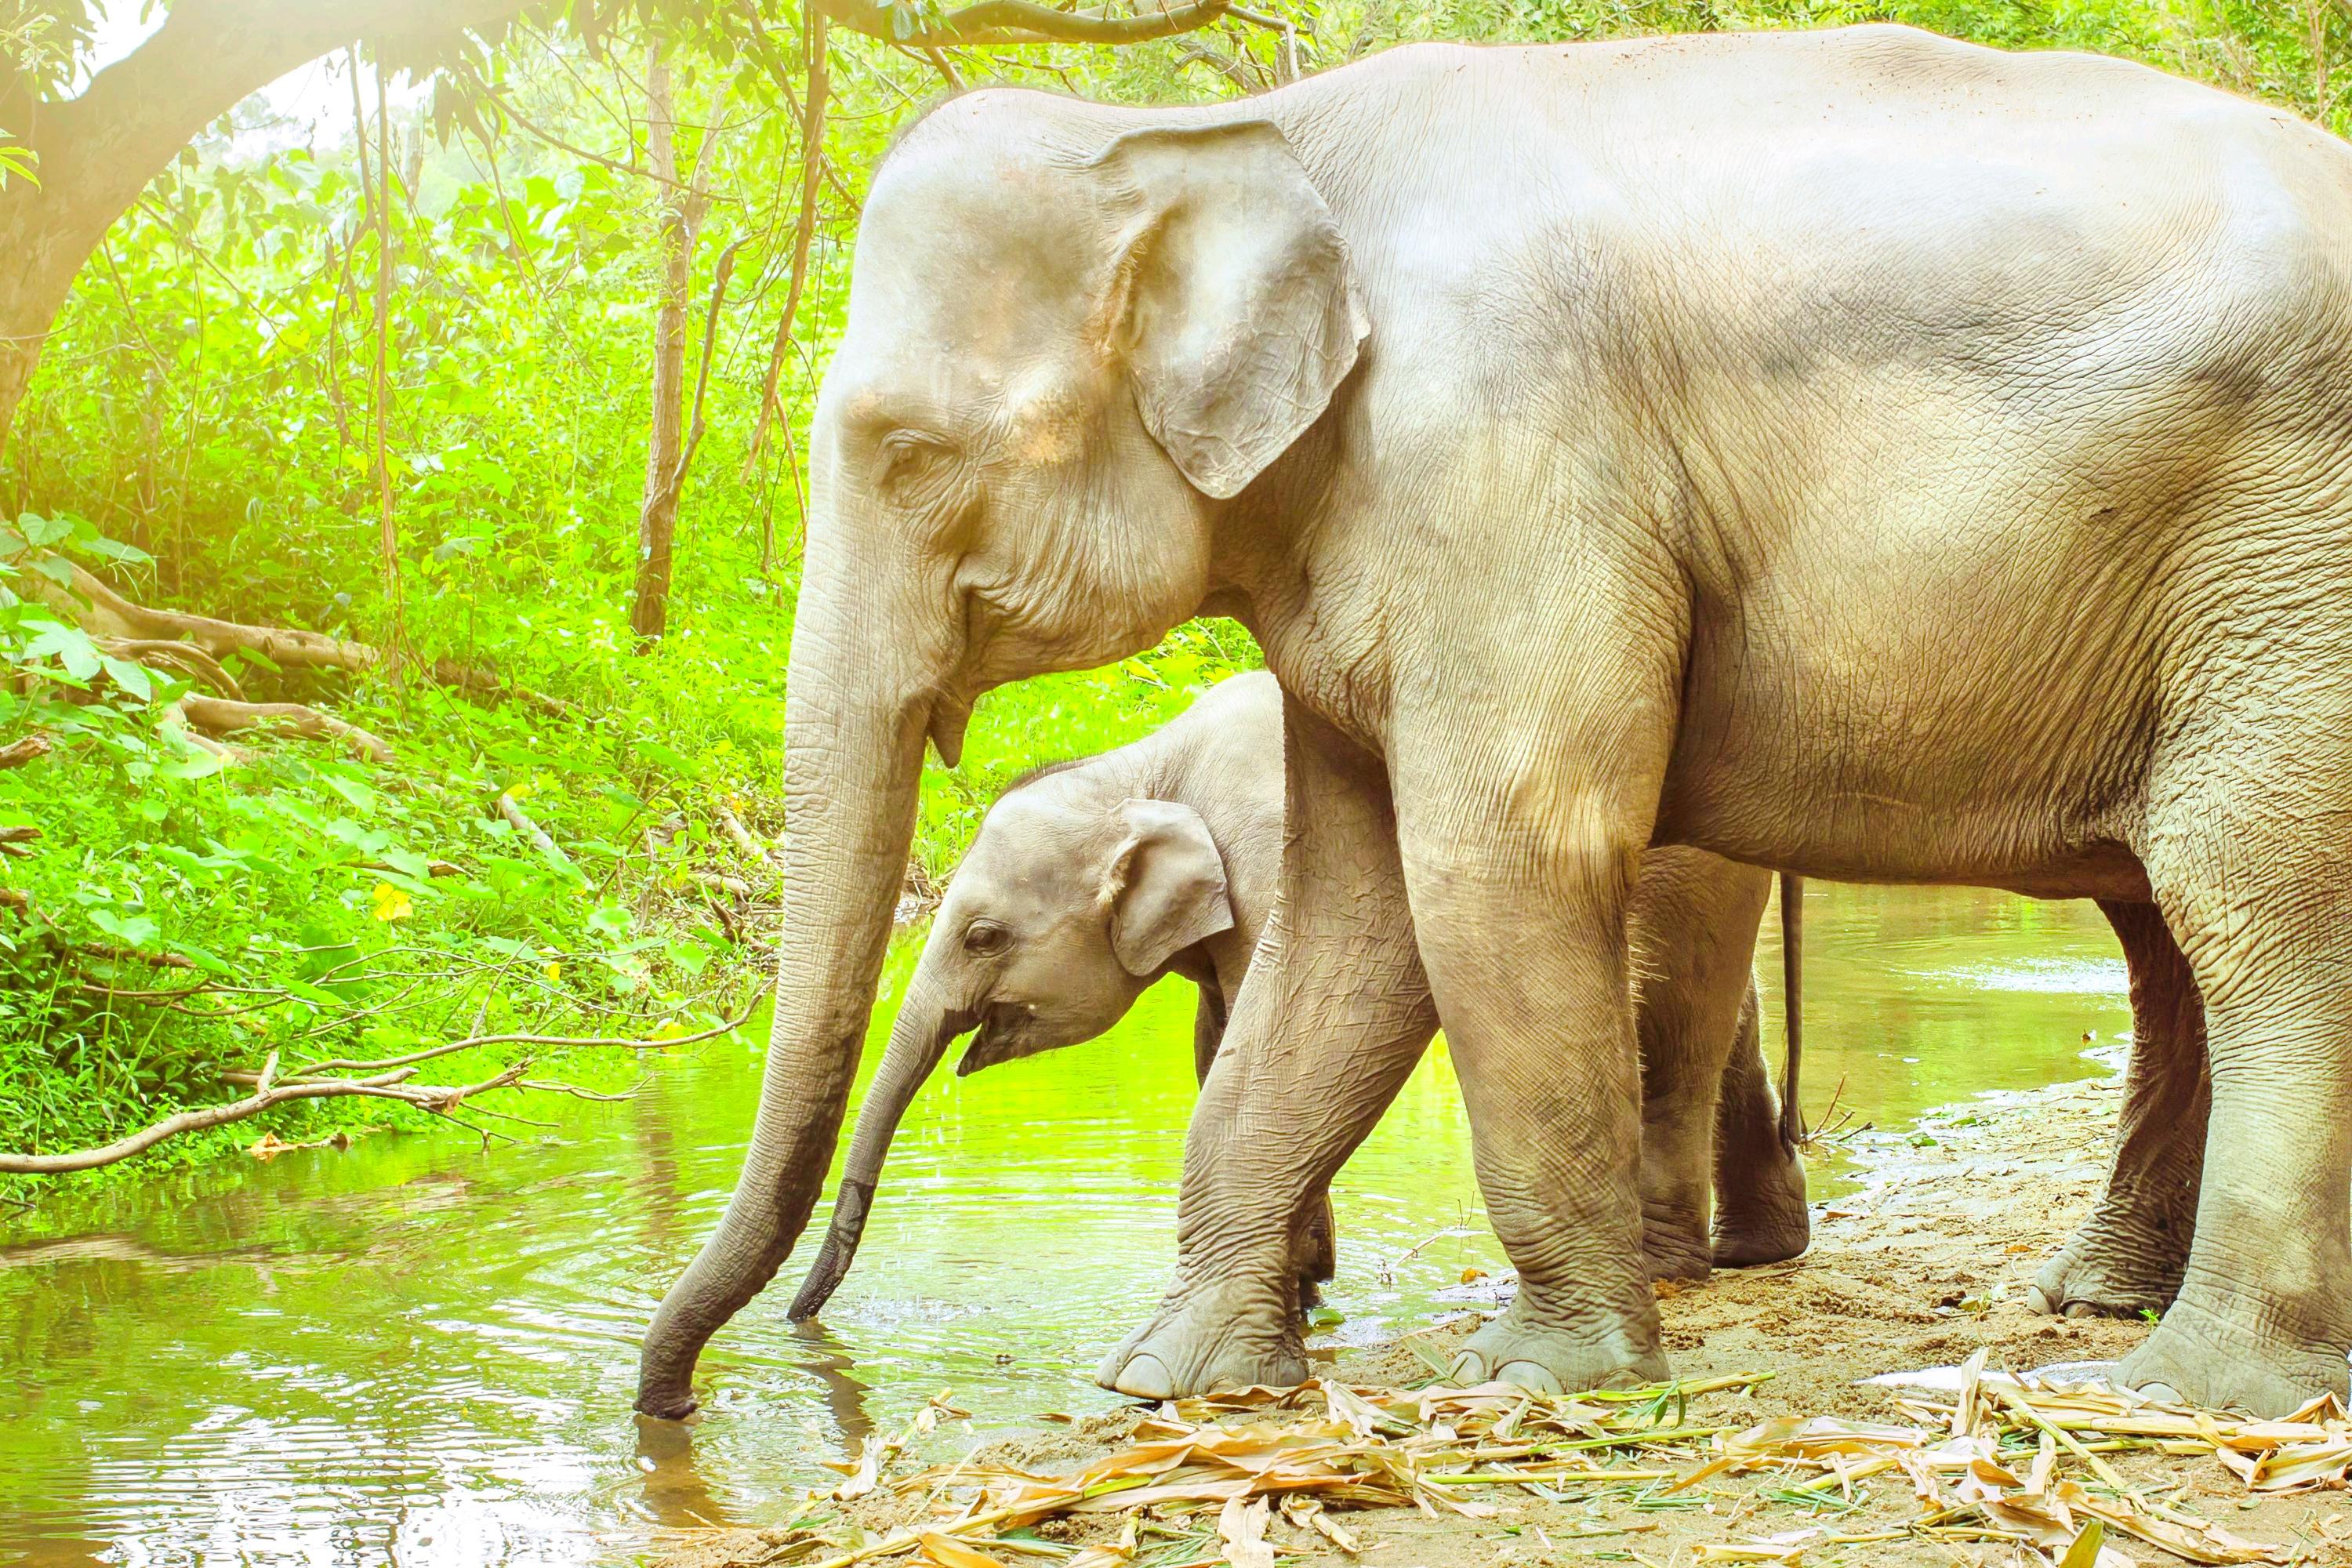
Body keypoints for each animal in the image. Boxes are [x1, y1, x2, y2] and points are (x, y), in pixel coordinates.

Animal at [784, 669, 1810, 1324]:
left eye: (984, 935)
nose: (801, 1314)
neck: (1150, 762)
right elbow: (1217, 1040)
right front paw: (1304, 1283)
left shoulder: (1271, 856)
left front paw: (1298, 1286)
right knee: (1729, 1019)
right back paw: (1759, 1250)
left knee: (1673, 1025)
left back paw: (1669, 1267)